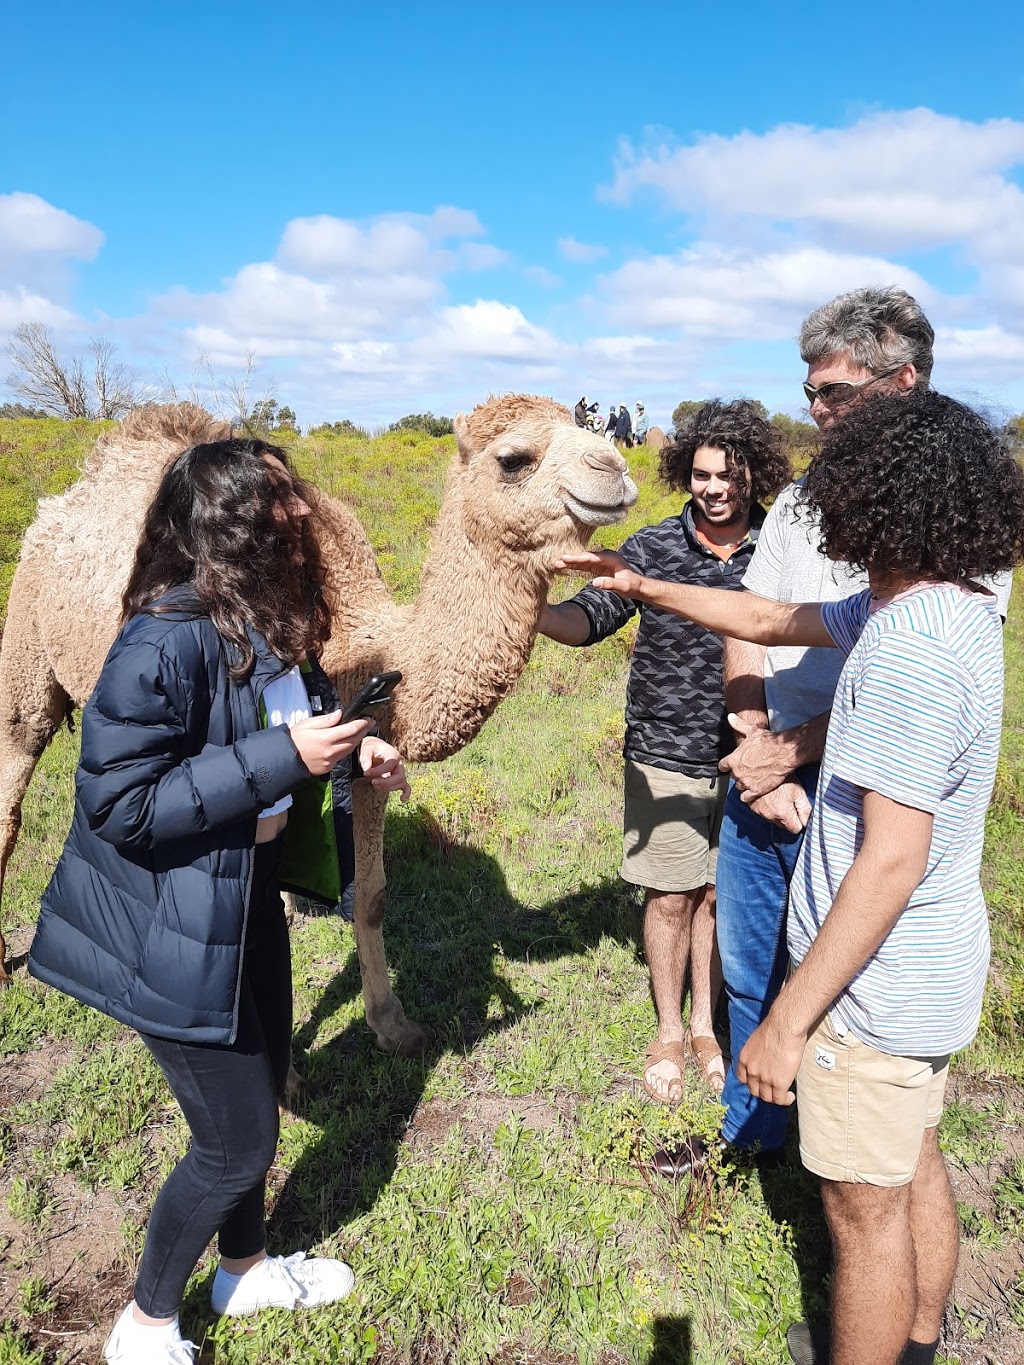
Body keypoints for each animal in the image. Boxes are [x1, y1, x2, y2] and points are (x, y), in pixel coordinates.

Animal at [0, 395, 638, 1053]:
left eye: (583, 424)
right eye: (513, 459)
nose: (614, 470)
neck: (368, 642)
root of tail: (61, 504)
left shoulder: (366, 758)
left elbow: (373, 897)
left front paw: (392, 1025)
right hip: (27, 642)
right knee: (14, 777)